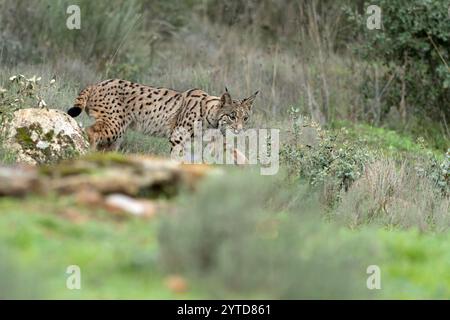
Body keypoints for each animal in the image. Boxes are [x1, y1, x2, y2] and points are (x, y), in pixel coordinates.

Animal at [67, 78, 256, 153]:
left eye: (245, 118)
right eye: (232, 116)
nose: (239, 129)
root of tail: (97, 83)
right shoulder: (178, 137)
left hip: (117, 133)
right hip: (115, 124)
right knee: (90, 132)